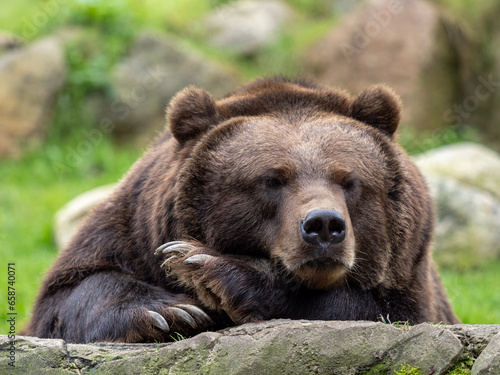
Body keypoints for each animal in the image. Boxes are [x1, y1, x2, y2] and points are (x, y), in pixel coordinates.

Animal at [25, 78, 458, 346]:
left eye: (349, 180)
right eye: (272, 179)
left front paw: (207, 266)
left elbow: (369, 309)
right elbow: (68, 292)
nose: (323, 225)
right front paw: (173, 311)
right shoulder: (131, 227)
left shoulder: (408, 274)